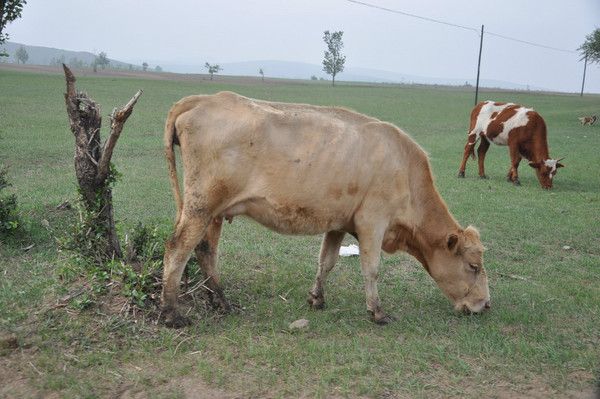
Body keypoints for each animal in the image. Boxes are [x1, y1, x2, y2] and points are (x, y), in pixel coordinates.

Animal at [162, 92, 490, 330]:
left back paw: (221, 302)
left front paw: (316, 299)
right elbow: (371, 268)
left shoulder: (339, 223)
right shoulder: (373, 221)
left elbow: (327, 262)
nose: (486, 305)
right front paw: (377, 312)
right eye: (473, 266)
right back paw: (171, 314)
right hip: (200, 206)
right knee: (177, 249)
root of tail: (205, 98)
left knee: (205, 251)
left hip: (214, 213)